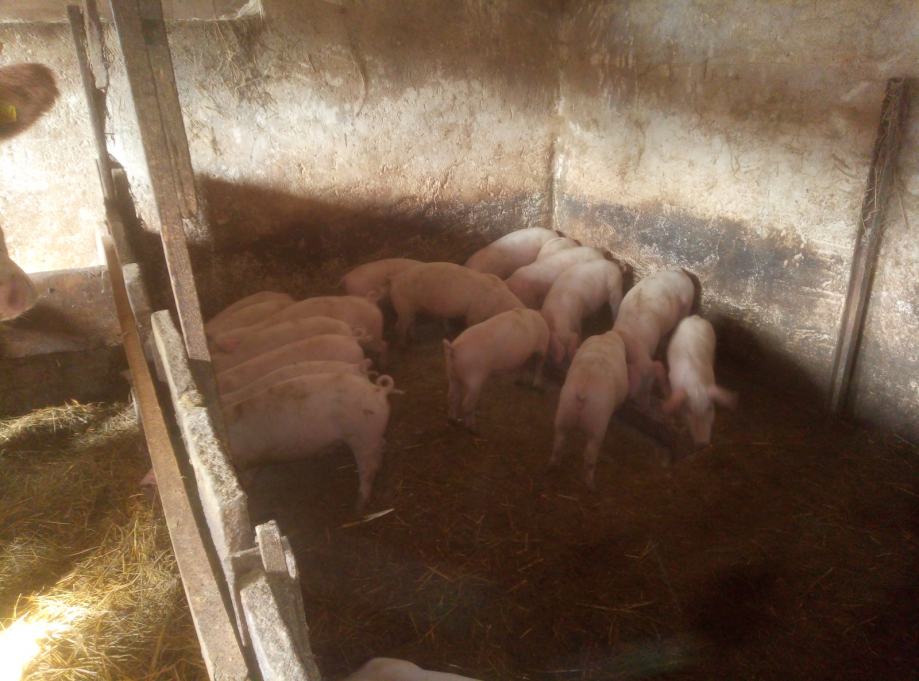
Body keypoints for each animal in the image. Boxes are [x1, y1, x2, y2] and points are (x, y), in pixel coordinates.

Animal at [225, 372, 398, 511]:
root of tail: (378, 390)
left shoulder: (243, 462)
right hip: (371, 436)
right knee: (380, 448)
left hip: (362, 436)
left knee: (367, 470)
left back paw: (358, 507)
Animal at [389, 262, 524, 344]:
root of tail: (395, 280)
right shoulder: (475, 313)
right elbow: (471, 324)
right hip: (403, 306)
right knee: (399, 327)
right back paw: (403, 345)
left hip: (410, 309)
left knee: (411, 323)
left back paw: (416, 339)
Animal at [551, 331, 629, 489]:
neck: (607, 339)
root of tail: (583, 389)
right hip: (597, 426)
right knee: (590, 457)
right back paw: (590, 484)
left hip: (564, 413)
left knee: (559, 442)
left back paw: (554, 465)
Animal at [612, 269, 696, 404]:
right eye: (632, 398)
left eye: (650, 387)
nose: (645, 405)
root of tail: (682, 273)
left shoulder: (646, 362)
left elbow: (659, 367)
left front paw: (667, 395)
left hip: (687, 304)